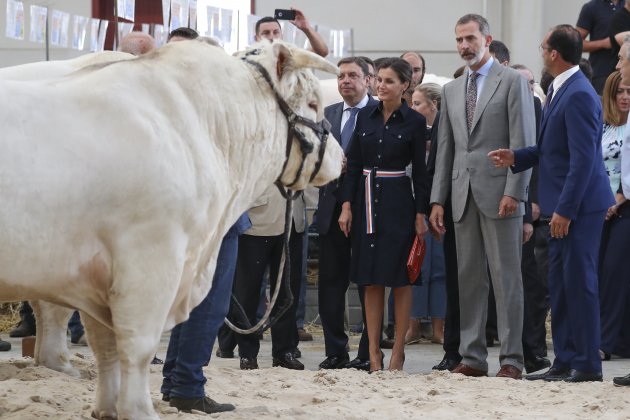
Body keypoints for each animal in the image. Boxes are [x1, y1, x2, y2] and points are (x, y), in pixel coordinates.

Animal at [0, 40, 340, 420]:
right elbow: (137, 346)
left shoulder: (95, 276)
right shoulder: (151, 260)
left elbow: (105, 346)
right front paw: (139, 410)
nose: (340, 158)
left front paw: (107, 407)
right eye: (313, 103)